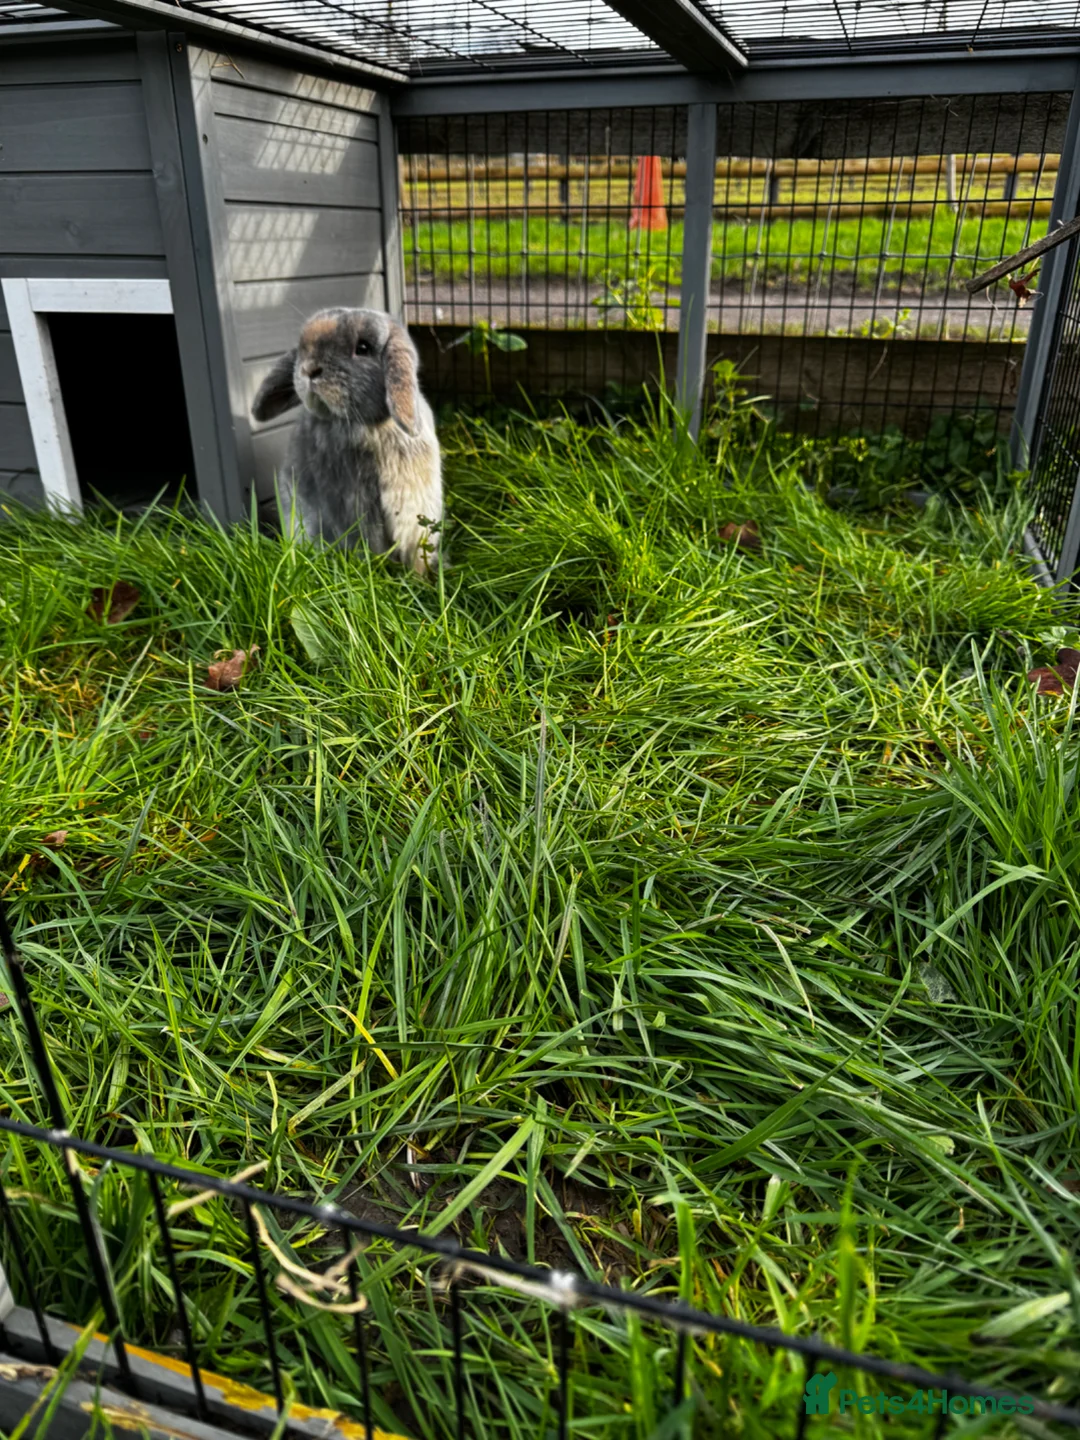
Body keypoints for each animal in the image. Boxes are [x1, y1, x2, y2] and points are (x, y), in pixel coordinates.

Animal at [251, 309, 442, 575]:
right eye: (302, 349)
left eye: (363, 347)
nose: (309, 369)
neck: (368, 424)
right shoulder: (355, 507)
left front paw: (419, 577)